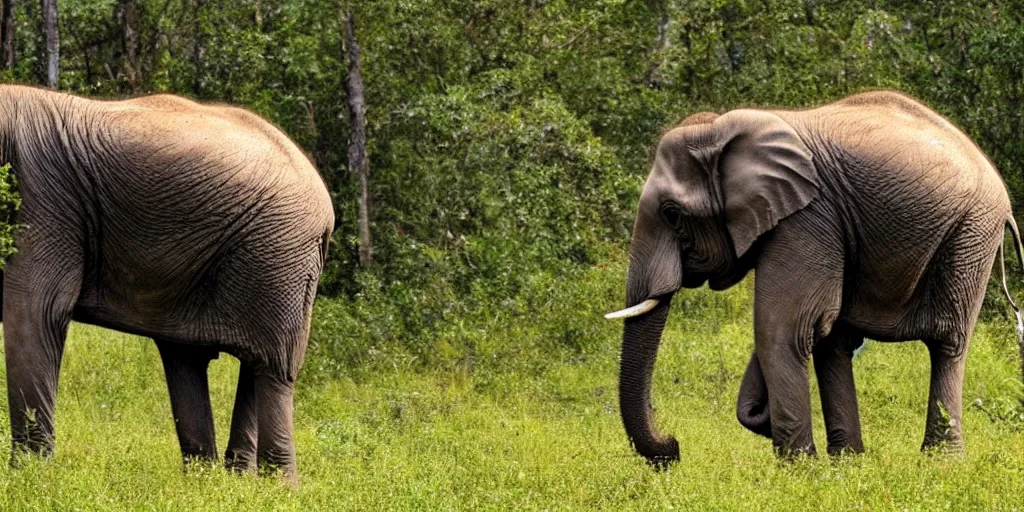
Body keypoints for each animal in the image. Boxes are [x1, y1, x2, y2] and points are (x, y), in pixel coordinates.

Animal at [0, 84, 331, 479]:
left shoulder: (43, 197)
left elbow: (38, 311)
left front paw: (30, 478)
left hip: (278, 253)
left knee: (271, 365)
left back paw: (275, 484)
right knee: (193, 359)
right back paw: (217, 480)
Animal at [602, 91, 1024, 464]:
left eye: (673, 214)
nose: (673, 447)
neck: (722, 130)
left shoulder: (806, 216)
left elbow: (784, 327)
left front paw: (797, 471)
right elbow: (819, 325)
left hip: (971, 235)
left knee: (946, 342)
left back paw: (939, 464)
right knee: (836, 344)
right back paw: (850, 462)